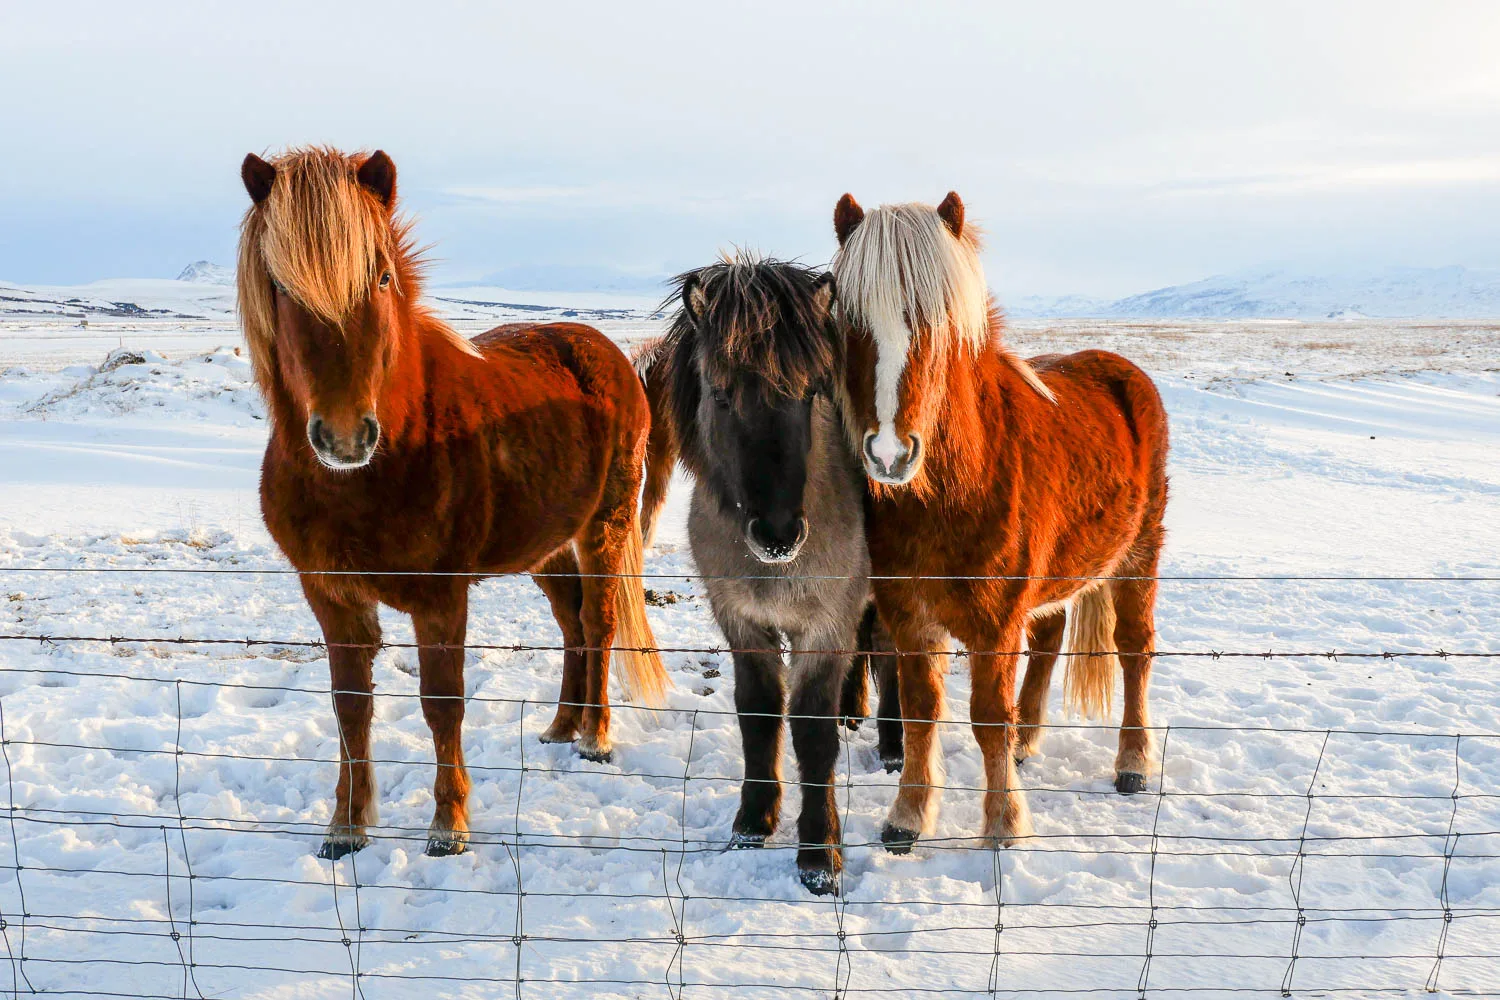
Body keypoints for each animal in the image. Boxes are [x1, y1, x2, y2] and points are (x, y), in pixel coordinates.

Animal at [236, 146, 669, 860]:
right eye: (281, 287)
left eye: (382, 277)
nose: (345, 436)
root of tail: (607, 352)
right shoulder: (329, 594)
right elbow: (349, 705)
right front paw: (346, 826)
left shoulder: (441, 596)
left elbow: (443, 702)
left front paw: (449, 826)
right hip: (546, 548)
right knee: (573, 623)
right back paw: (559, 726)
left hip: (604, 528)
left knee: (601, 622)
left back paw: (594, 737)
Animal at [635, 254, 898, 895]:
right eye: (722, 394)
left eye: (810, 394)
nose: (779, 533)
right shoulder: (744, 624)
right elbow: (758, 714)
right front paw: (753, 822)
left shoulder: (822, 628)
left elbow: (811, 731)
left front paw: (818, 853)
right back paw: (855, 711)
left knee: (889, 655)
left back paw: (894, 746)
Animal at [830, 192, 1169, 852]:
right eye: (848, 318)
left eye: (936, 320)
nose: (889, 454)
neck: (954, 490)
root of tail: (1122, 369)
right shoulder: (910, 614)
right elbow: (920, 709)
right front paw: (908, 817)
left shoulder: (995, 623)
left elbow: (988, 715)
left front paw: (1004, 825)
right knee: (1049, 641)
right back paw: (1027, 745)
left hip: (1139, 556)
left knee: (1134, 650)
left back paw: (1133, 763)